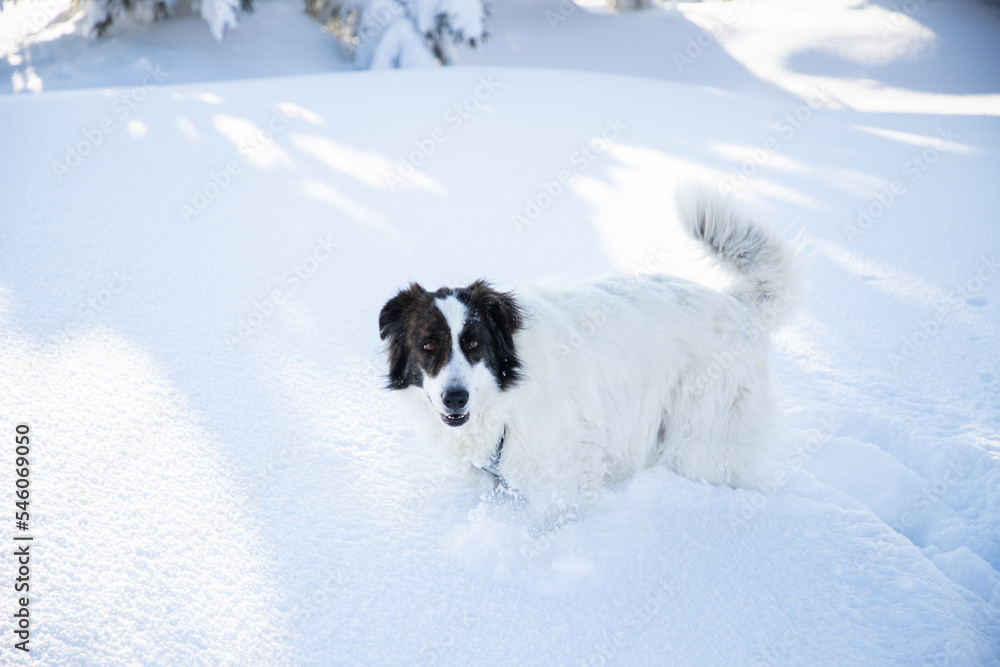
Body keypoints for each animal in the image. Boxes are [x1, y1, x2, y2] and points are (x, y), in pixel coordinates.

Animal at [378, 187, 800, 512]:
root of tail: (737, 305)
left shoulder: (565, 474)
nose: (455, 398)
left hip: (699, 442)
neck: (507, 401)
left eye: (474, 343)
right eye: (428, 345)